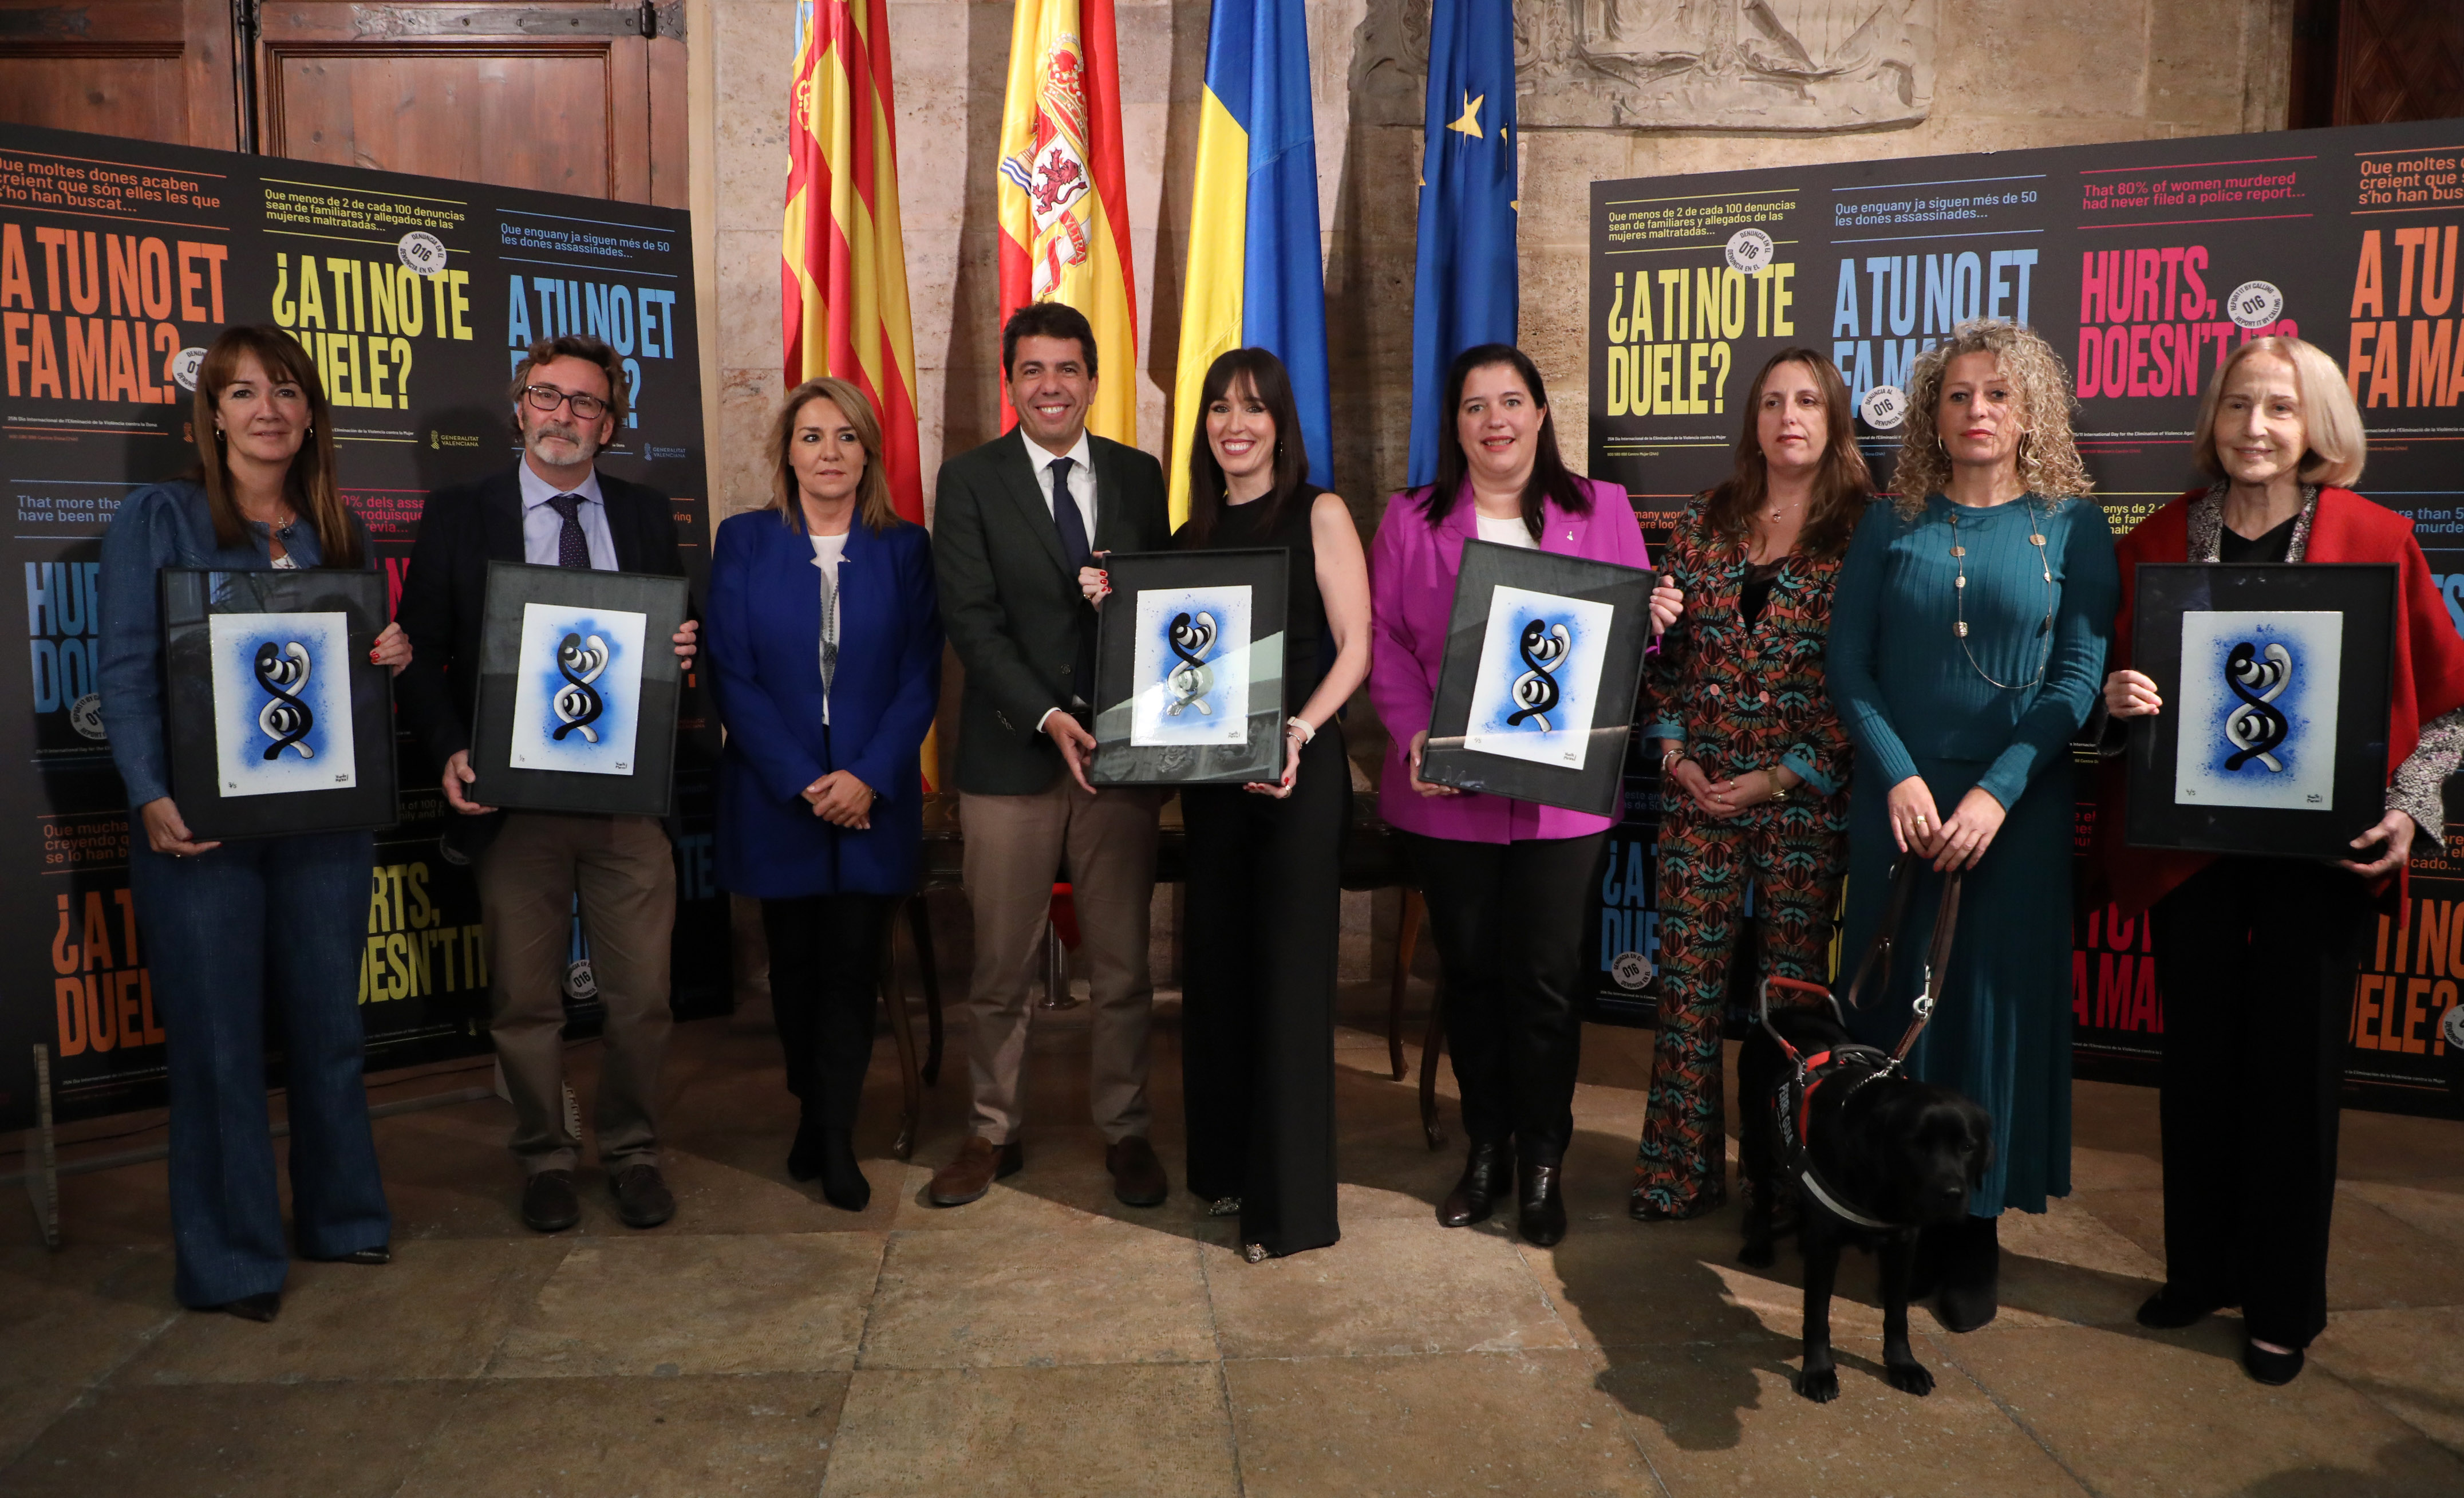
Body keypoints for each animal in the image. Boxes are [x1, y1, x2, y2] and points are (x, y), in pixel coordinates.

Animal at [1735, 862, 2000, 1399]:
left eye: (1967, 1147)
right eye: (1916, 1146)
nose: (1951, 1194)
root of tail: (1788, 1010)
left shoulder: (1903, 1245)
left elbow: (1897, 1315)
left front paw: (1903, 1364)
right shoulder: (1827, 1251)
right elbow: (1817, 1315)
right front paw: (1818, 1371)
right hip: (1756, 1141)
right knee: (1763, 1192)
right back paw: (1760, 1244)